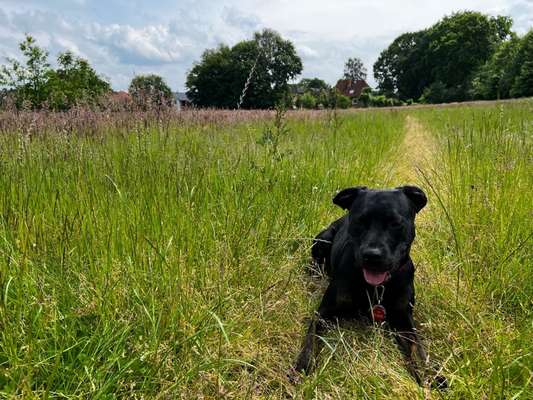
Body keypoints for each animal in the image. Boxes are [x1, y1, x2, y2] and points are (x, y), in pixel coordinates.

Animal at [294, 186, 446, 390]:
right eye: (360, 221)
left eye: (395, 223)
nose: (372, 255)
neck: (376, 288)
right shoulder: (323, 313)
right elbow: (311, 340)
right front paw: (302, 366)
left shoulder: (404, 320)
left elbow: (418, 350)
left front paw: (430, 375)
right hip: (322, 239)